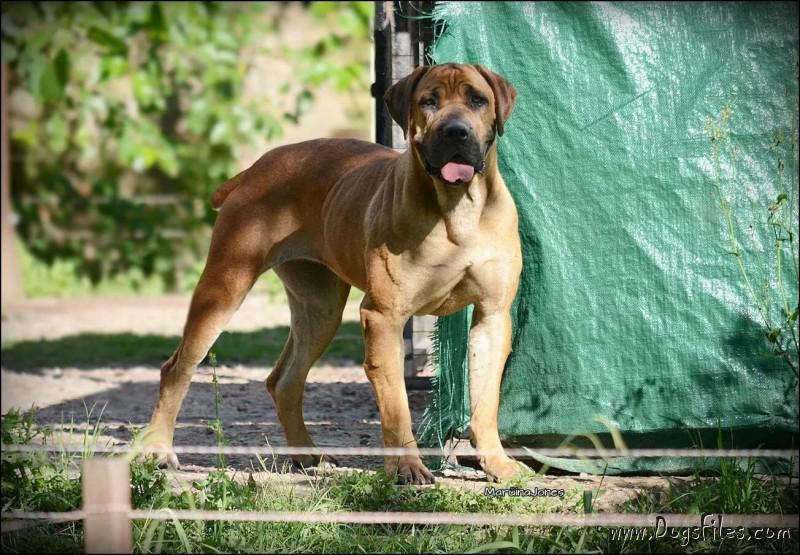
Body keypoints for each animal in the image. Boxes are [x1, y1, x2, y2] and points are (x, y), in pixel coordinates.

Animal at [144, 63, 528, 484]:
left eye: (477, 99)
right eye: (429, 101)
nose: (455, 131)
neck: (457, 208)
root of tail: (256, 168)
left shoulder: (492, 316)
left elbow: (485, 400)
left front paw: (496, 462)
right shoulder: (383, 317)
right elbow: (396, 405)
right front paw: (407, 467)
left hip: (319, 309)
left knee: (284, 380)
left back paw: (307, 455)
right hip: (224, 286)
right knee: (177, 369)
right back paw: (158, 450)